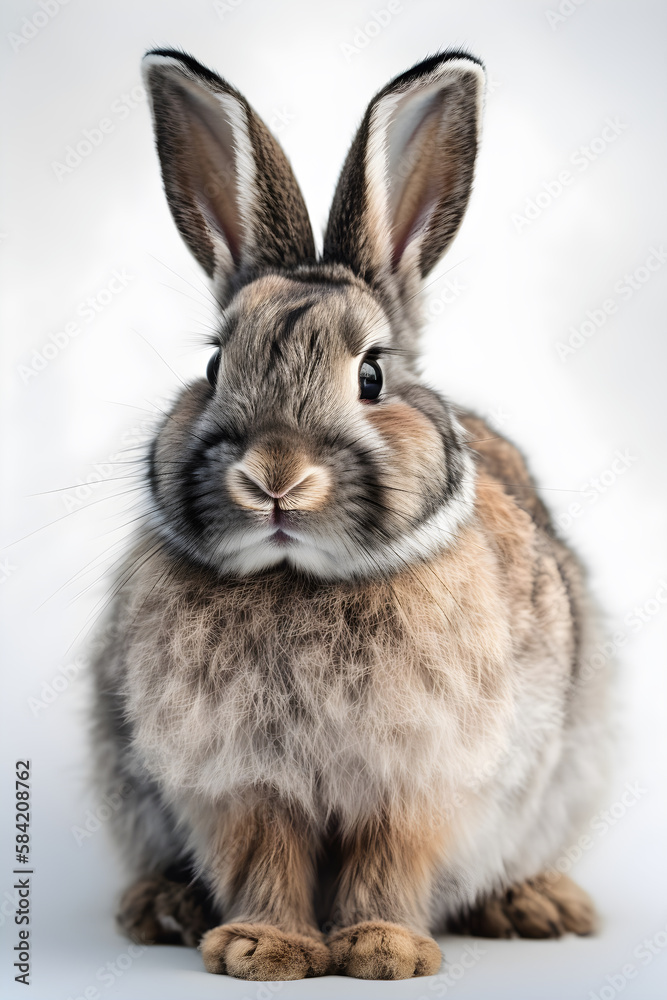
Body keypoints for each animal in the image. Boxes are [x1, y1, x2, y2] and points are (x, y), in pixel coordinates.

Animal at [90, 47, 610, 981]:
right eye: (215, 366)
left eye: (371, 374)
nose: (274, 479)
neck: (300, 580)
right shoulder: (242, 783)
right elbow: (266, 854)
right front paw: (262, 949)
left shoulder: (416, 781)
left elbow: (388, 858)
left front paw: (381, 950)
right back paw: (162, 908)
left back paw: (536, 905)